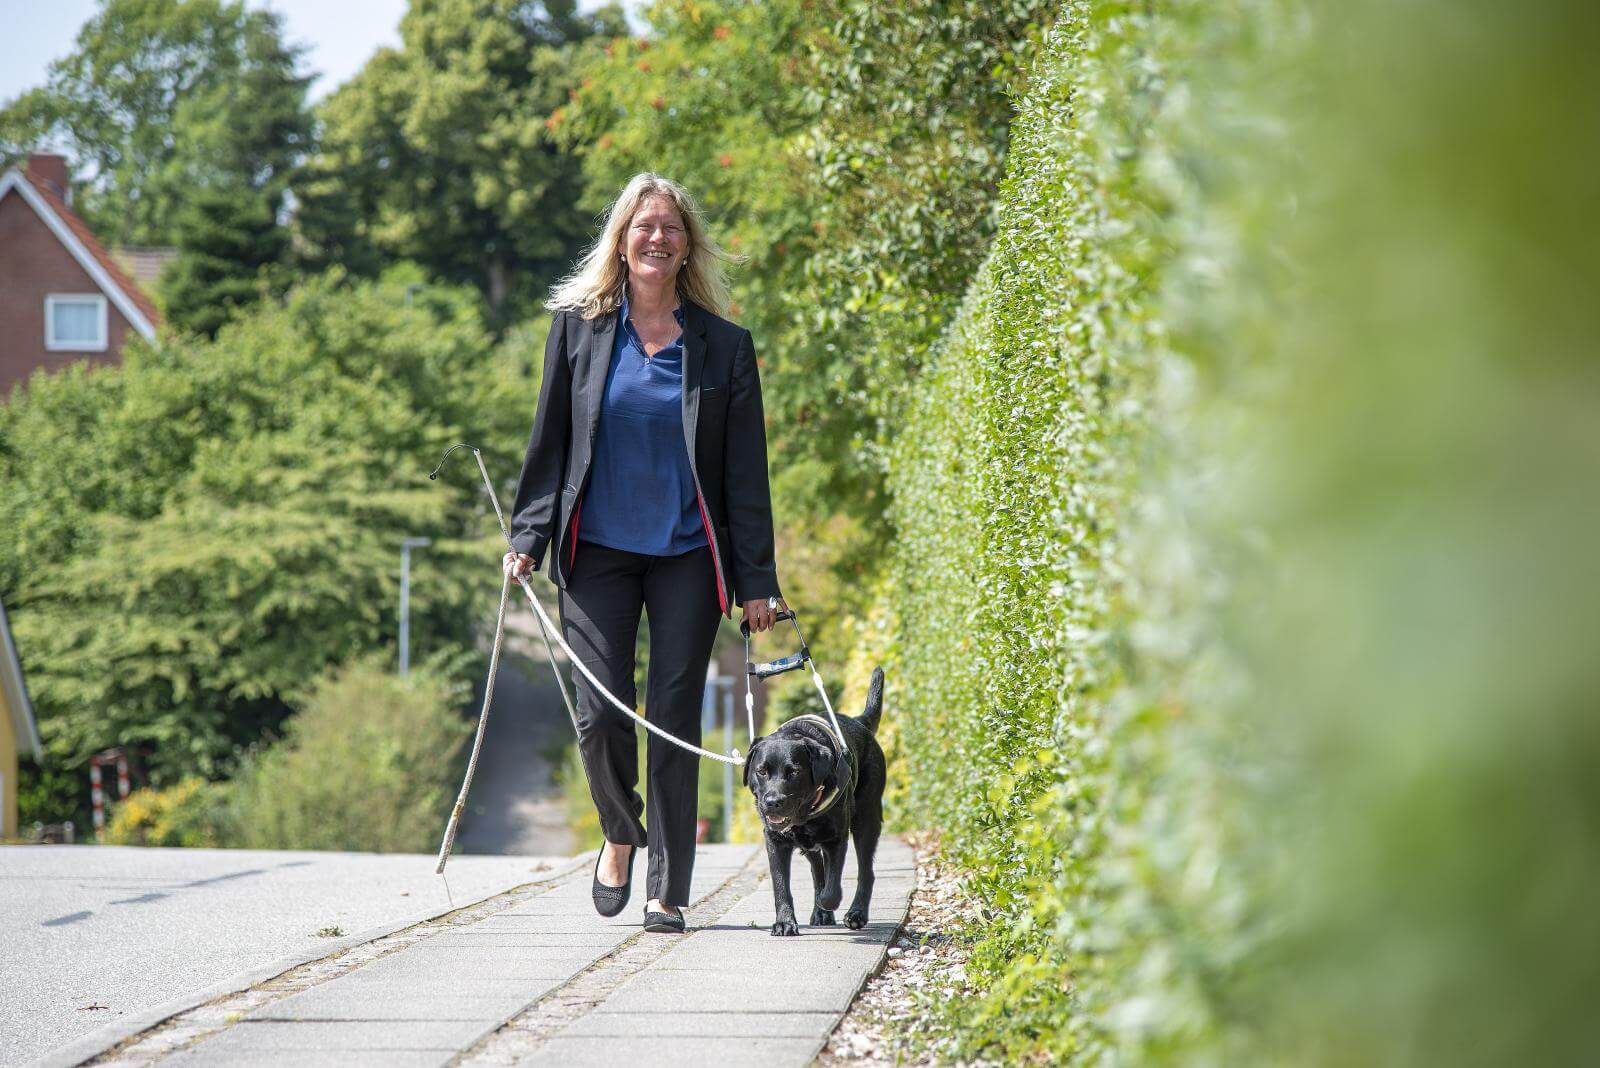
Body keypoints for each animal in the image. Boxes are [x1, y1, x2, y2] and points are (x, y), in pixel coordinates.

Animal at [739, 668, 889, 933]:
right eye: (761, 771)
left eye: (794, 772)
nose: (773, 801)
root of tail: (859, 722)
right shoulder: (775, 840)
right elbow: (781, 884)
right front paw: (784, 923)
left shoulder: (836, 838)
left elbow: (832, 886)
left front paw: (827, 903)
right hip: (809, 841)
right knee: (817, 868)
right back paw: (822, 914)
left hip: (866, 819)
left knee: (865, 871)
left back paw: (856, 913)